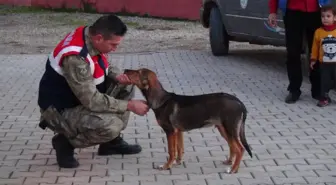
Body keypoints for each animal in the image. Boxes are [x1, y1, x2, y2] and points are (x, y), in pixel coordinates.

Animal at [123, 68, 252, 173]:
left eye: (138, 72)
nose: (125, 70)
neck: (162, 100)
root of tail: (240, 103)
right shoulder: (178, 132)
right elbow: (179, 149)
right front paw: (177, 162)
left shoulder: (170, 131)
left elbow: (171, 151)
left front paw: (166, 166)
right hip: (224, 129)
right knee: (233, 147)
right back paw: (229, 162)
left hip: (230, 129)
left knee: (240, 149)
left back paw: (233, 169)